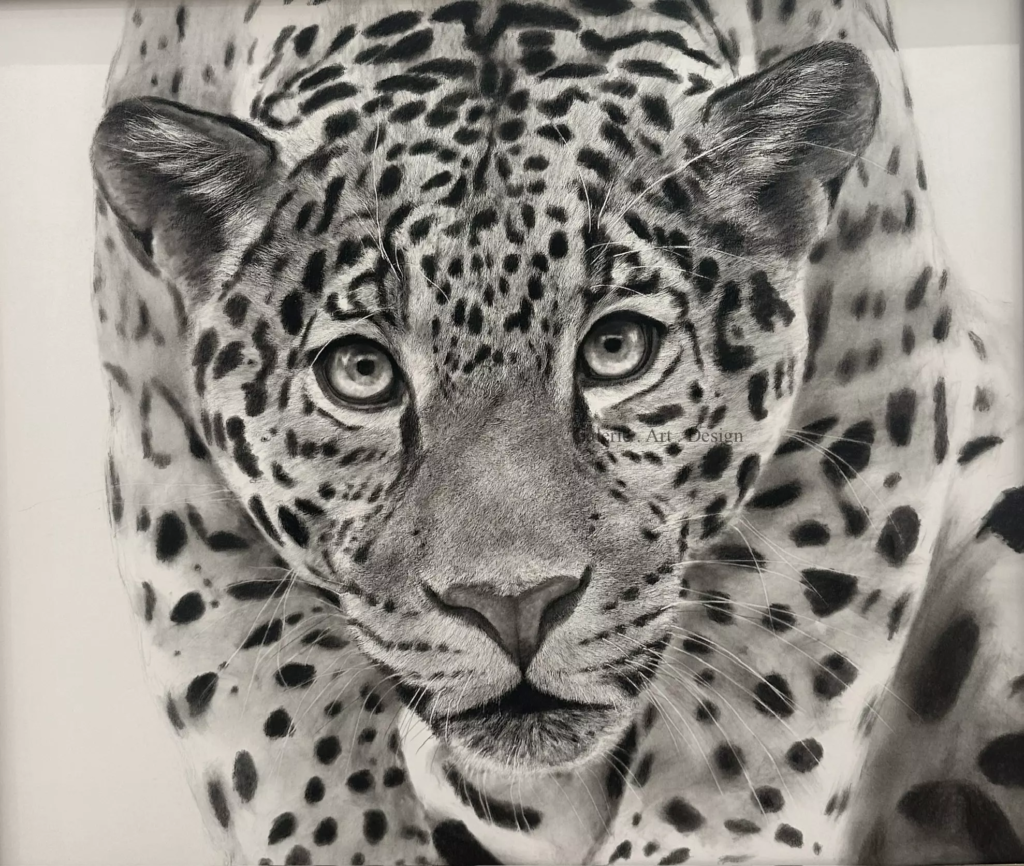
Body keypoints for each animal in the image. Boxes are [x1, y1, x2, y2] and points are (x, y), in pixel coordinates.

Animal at [89, 0, 1024, 863]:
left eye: (617, 348)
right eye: (360, 371)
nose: (514, 607)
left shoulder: (880, 377)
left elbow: (773, 670)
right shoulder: (170, 478)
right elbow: (278, 711)